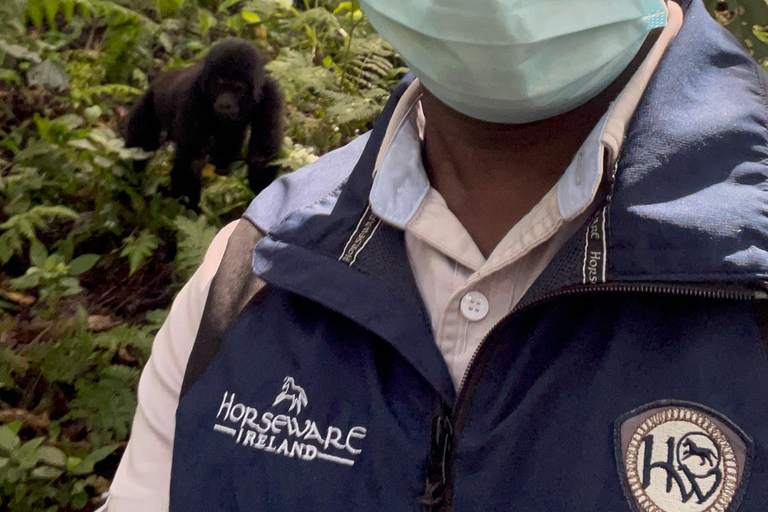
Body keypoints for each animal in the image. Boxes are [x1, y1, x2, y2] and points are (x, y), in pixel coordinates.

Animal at [124, 37, 284, 206]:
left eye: (238, 89)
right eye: (220, 85)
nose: (225, 104)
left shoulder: (271, 96)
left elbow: (261, 156)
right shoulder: (192, 95)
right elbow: (191, 160)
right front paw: (188, 208)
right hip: (148, 102)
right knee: (140, 145)